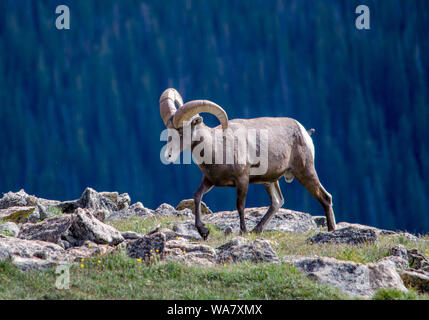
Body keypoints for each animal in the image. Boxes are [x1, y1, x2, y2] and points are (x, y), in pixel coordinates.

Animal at [159, 89, 336, 239]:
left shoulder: (242, 180)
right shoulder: (209, 181)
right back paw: (256, 230)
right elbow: (197, 196)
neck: (218, 147)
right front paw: (203, 232)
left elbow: (240, 205)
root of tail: (304, 132)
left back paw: (331, 230)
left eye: (181, 131)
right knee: (277, 202)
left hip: (305, 172)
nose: (168, 155)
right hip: (270, 181)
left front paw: (243, 231)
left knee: (325, 198)